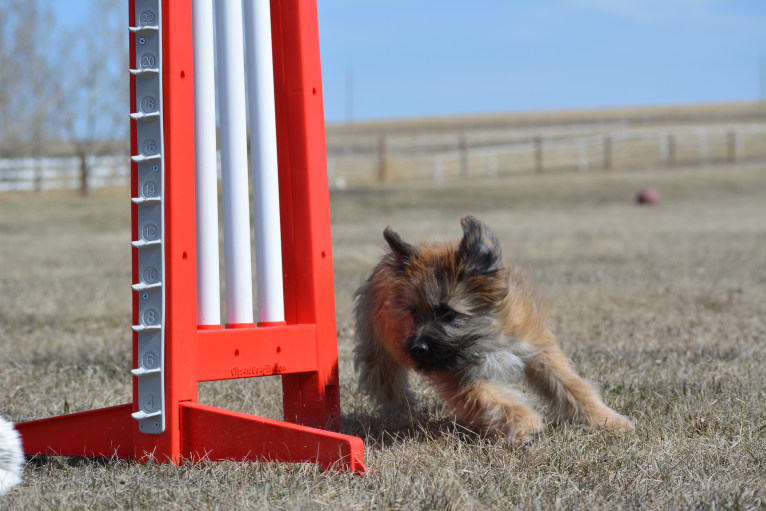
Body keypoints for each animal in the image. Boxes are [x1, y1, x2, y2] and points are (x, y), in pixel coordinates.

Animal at [354, 216, 636, 444]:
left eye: (447, 312)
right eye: (412, 312)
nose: (417, 348)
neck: (486, 335)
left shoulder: (537, 351)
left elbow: (571, 385)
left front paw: (607, 419)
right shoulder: (463, 376)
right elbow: (494, 399)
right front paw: (527, 423)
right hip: (378, 350)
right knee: (388, 384)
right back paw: (403, 414)